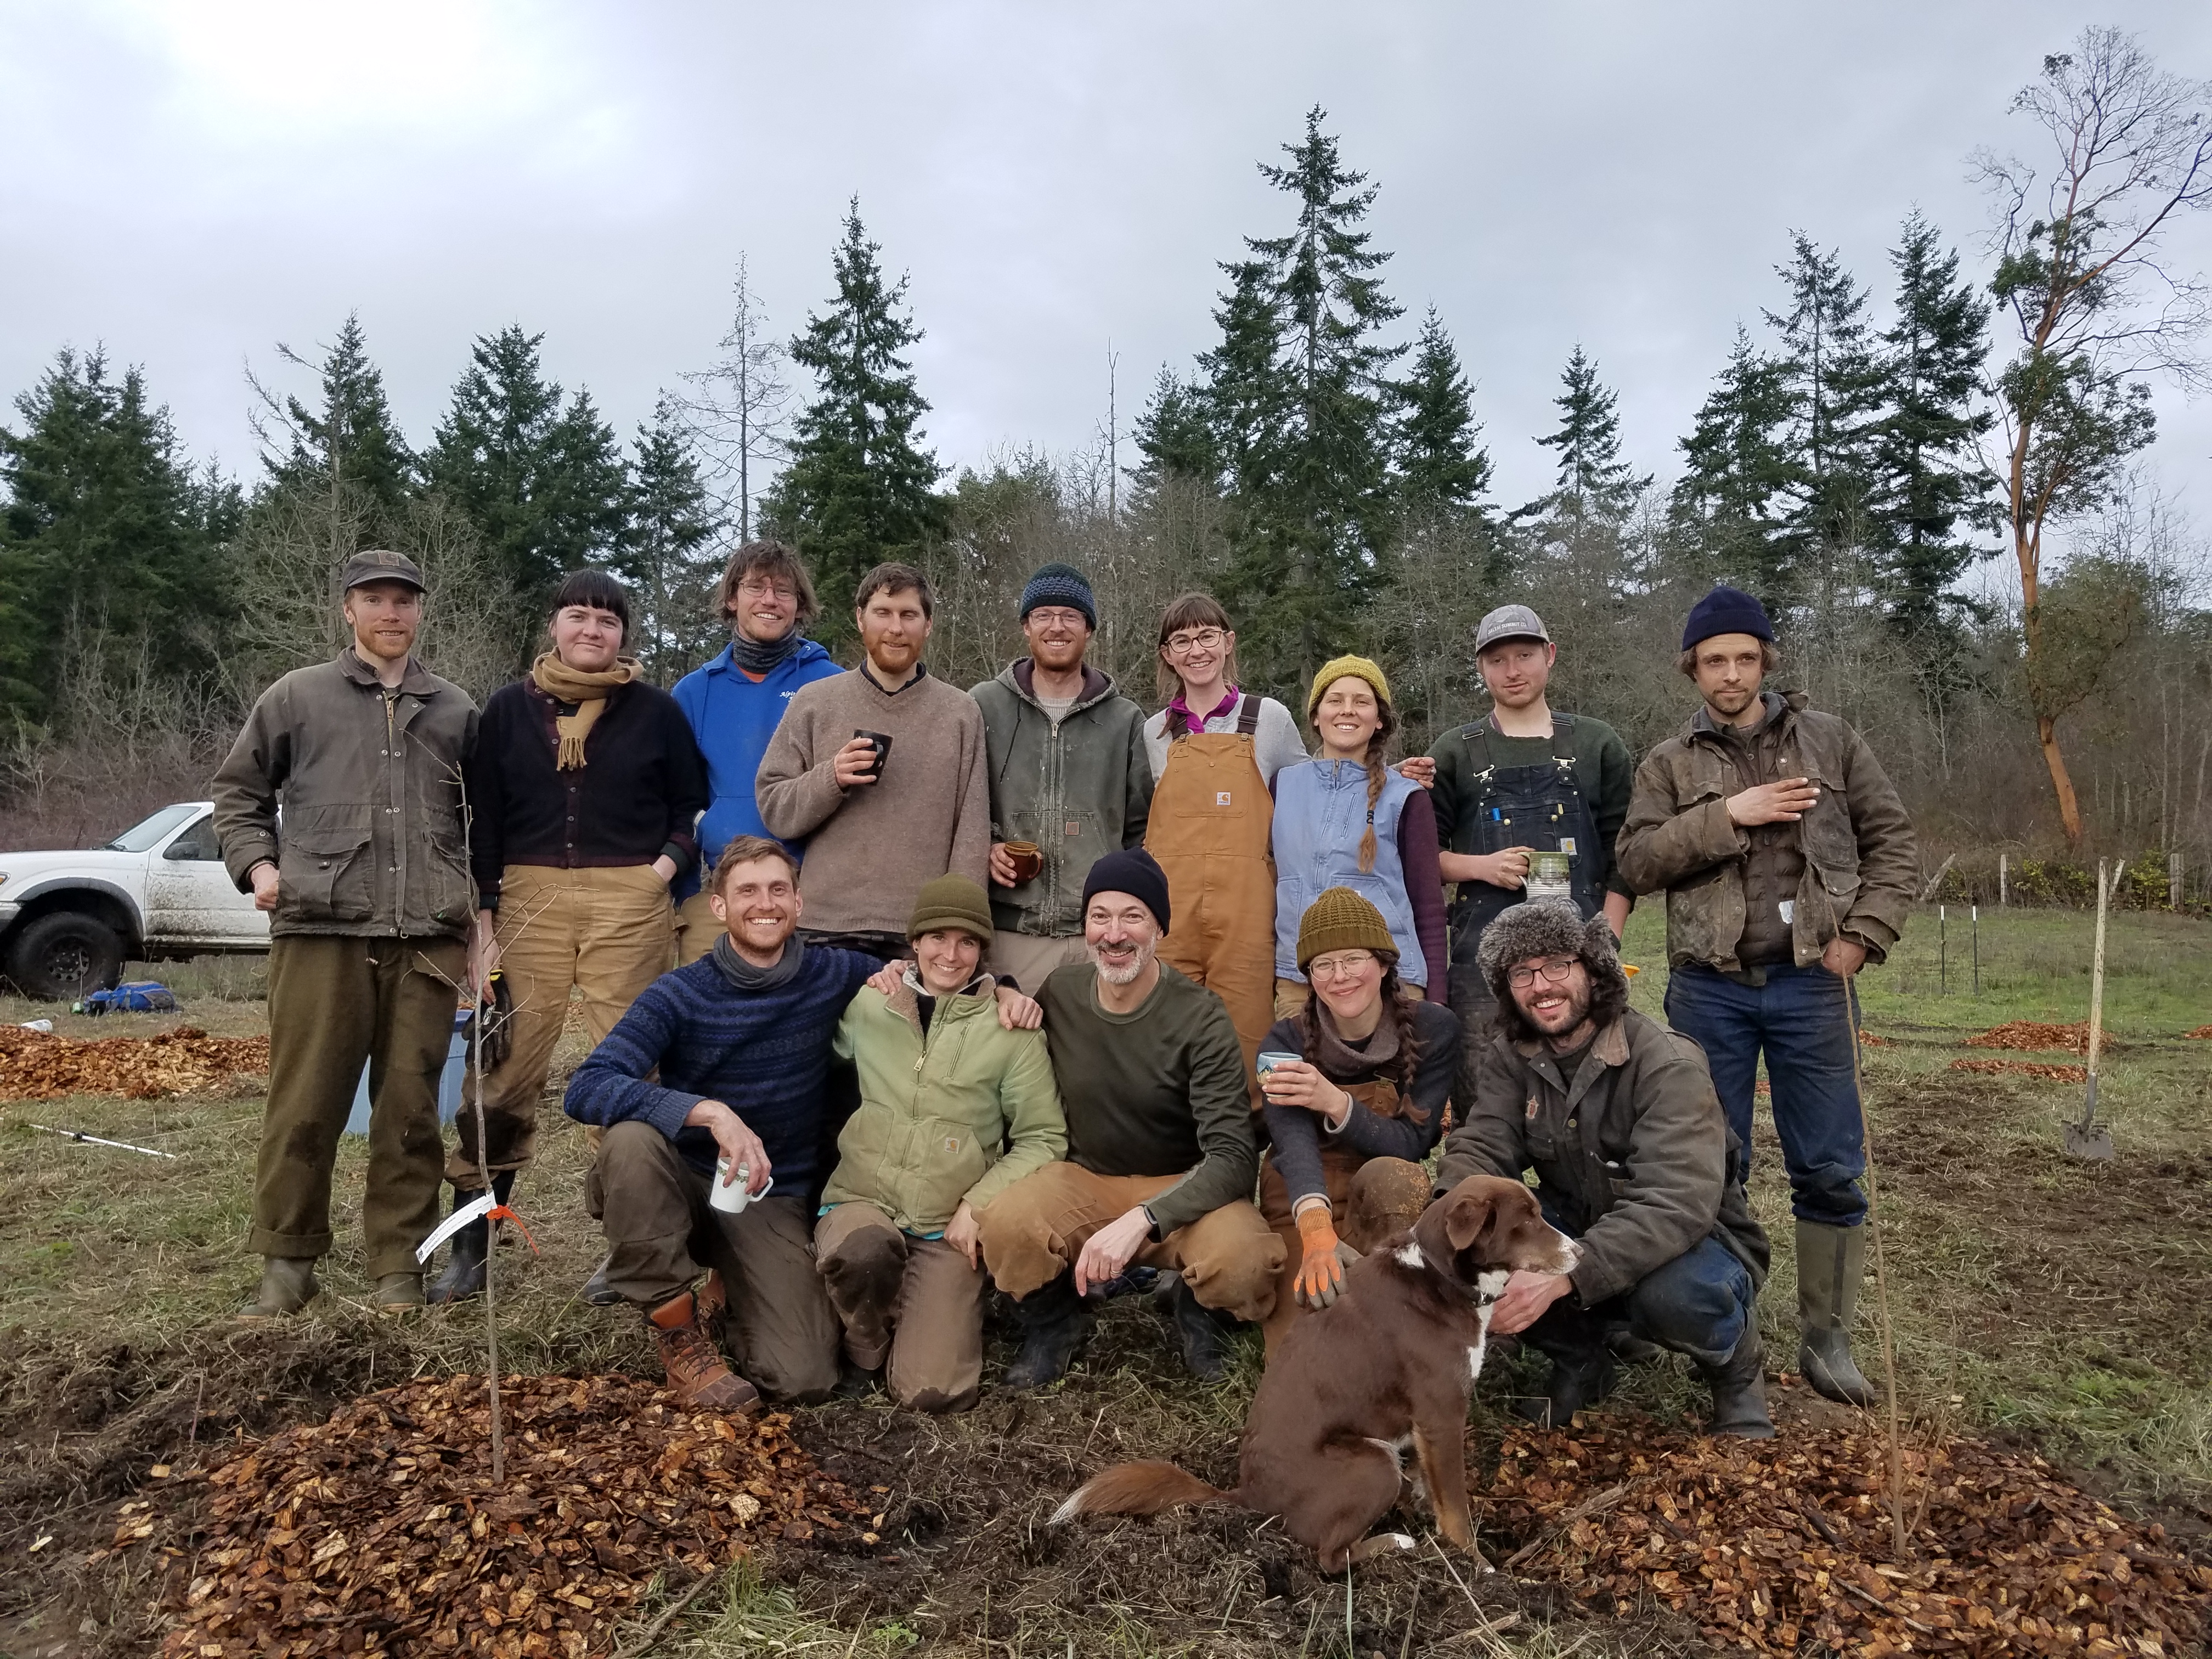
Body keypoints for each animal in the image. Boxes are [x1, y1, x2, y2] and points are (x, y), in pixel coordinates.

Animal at [1052, 1175, 1580, 1573]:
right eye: (1526, 1220)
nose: (1579, 1253)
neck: (1438, 1276)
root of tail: (1250, 1495)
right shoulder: (1442, 1416)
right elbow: (1456, 1507)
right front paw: (1477, 1566)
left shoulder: (1426, 1429)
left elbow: (1433, 1488)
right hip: (1372, 1463)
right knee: (1329, 1557)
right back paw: (1396, 1544)